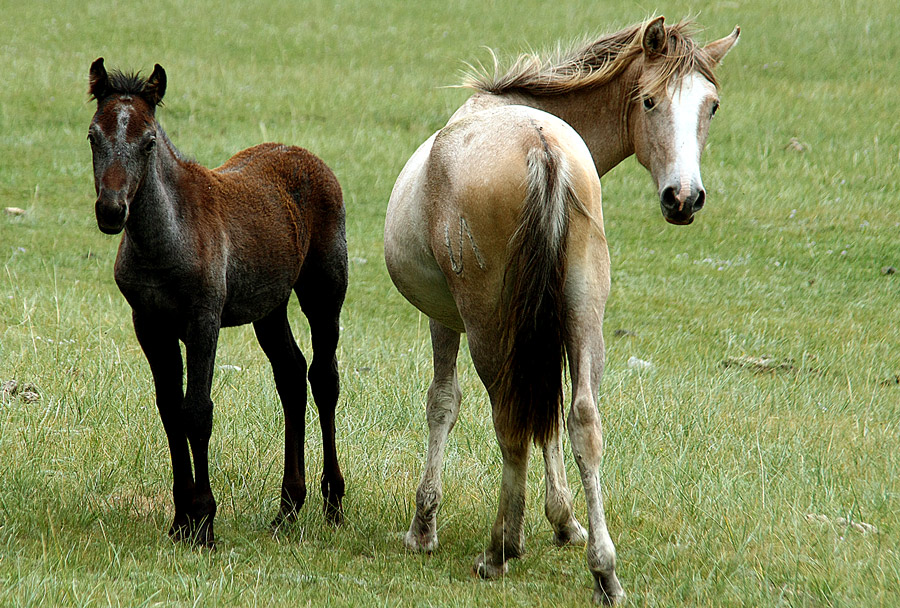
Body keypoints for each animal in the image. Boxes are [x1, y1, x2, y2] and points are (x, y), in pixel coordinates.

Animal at [384, 16, 736, 600]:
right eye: (649, 101)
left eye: (710, 106)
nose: (683, 198)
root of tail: (541, 146)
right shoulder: (547, 325)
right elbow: (550, 416)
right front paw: (565, 521)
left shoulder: (447, 320)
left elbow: (443, 403)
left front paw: (423, 526)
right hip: (583, 314)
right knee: (583, 421)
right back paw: (604, 571)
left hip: (488, 326)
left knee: (510, 420)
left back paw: (499, 550)